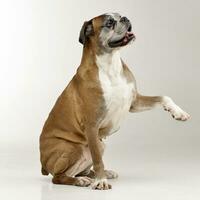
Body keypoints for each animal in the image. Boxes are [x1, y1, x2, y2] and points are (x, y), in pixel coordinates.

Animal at [39, 12, 191, 191]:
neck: (110, 63)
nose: (125, 18)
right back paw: (81, 181)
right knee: (58, 177)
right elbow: (98, 160)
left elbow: (163, 97)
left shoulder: (134, 102)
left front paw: (178, 112)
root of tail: (43, 164)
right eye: (109, 23)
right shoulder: (91, 125)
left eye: (120, 15)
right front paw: (101, 181)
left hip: (100, 144)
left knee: (82, 170)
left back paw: (99, 174)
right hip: (74, 147)